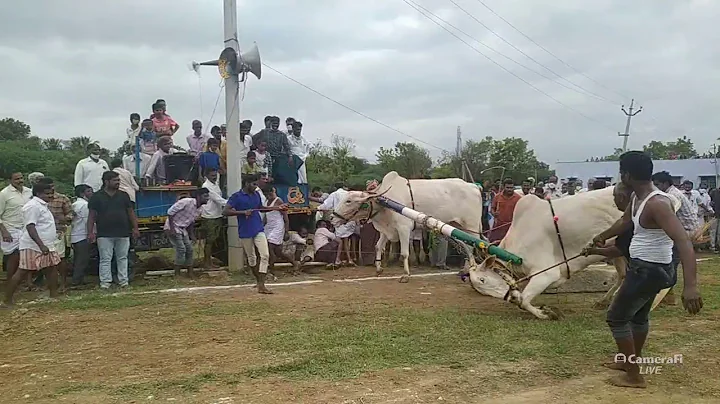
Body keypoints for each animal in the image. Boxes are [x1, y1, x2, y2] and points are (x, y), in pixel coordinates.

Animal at [334, 170, 484, 280]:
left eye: (348, 201)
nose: (332, 217)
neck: (385, 202)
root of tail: (474, 186)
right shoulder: (386, 231)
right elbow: (377, 247)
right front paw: (378, 269)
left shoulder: (404, 228)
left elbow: (405, 253)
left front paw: (406, 274)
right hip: (457, 227)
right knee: (467, 247)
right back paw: (465, 270)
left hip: (471, 227)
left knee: (472, 246)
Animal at [464, 188, 628, 320]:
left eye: (483, 280)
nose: (510, 297)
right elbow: (523, 300)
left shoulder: (547, 273)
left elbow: (524, 301)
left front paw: (547, 313)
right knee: (622, 275)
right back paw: (604, 301)